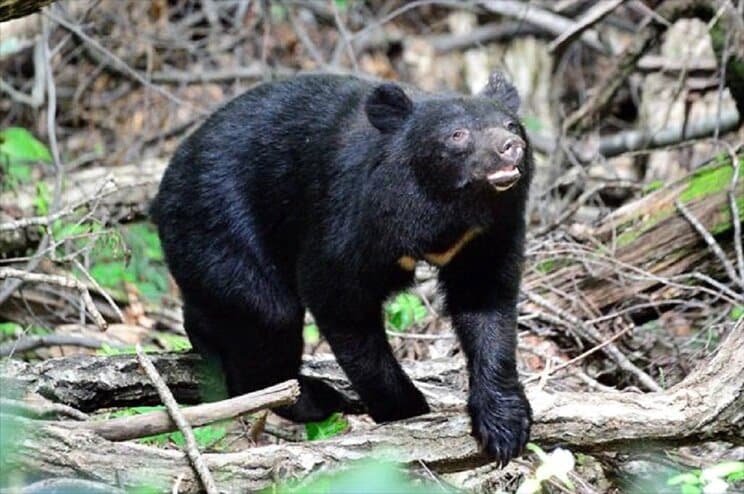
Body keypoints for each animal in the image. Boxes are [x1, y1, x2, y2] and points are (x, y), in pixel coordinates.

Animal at [151, 71, 532, 466]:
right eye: (457, 135)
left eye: (511, 124)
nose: (511, 146)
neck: (446, 214)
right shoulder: (352, 217)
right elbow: (338, 298)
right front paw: (406, 411)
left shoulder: (484, 236)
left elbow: (484, 304)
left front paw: (504, 424)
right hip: (219, 223)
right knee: (267, 314)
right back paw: (314, 397)